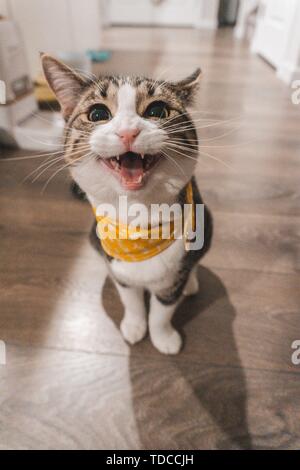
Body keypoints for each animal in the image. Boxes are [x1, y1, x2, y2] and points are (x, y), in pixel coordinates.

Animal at [41, 54, 212, 352]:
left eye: (157, 110)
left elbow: (163, 309)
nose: (128, 132)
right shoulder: (120, 268)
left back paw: (192, 283)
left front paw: (163, 337)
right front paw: (135, 326)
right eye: (97, 114)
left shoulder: (173, 276)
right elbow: (130, 300)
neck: (138, 222)